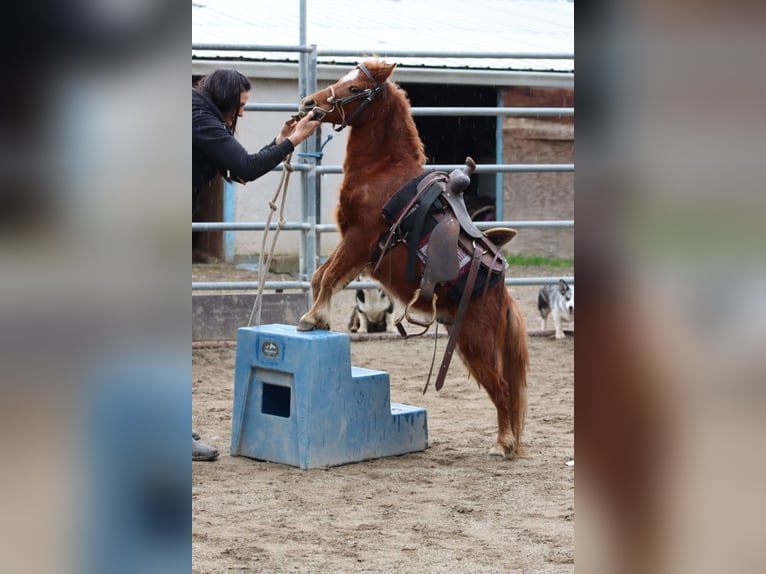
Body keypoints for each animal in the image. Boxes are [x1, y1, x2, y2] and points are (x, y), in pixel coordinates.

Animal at [295, 61, 528, 459]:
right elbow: (321, 276)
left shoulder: (359, 240)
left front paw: (312, 318)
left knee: (501, 389)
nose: (310, 104)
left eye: (354, 87)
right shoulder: (354, 246)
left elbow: (326, 277)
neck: (381, 173)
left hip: (476, 345)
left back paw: (503, 444)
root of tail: (502, 295)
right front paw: (320, 317)